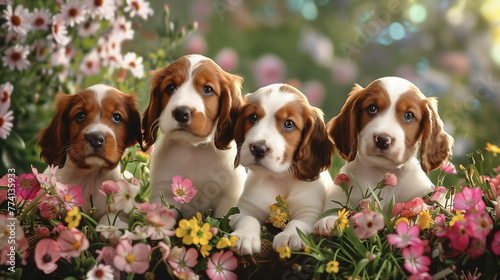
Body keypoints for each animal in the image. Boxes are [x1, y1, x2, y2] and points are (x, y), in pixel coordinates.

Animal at [142, 53, 245, 219]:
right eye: (170, 87)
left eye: (208, 89)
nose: (181, 113)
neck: (193, 149)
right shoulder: (164, 192)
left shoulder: (229, 197)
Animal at [231, 82, 334, 254]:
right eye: (253, 117)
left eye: (289, 124)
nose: (258, 149)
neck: (280, 178)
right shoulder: (243, 209)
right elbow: (248, 218)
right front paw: (244, 236)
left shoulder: (310, 212)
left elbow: (297, 223)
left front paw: (289, 236)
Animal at [314, 76, 456, 236]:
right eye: (372, 108)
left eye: (409, 115)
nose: (382, 140)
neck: (382, 172)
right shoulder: (342, 191)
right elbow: (336, 208)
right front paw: (330, 220)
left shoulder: (423, 193)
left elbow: (426, 209)